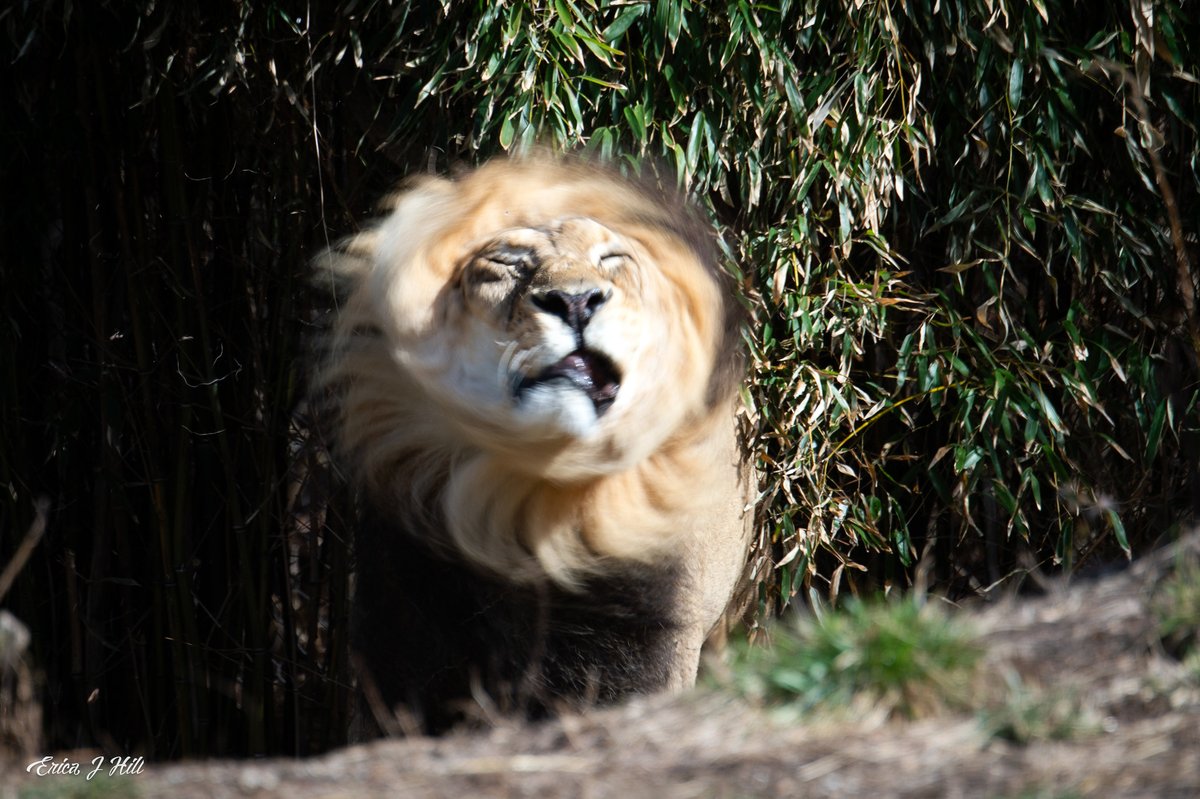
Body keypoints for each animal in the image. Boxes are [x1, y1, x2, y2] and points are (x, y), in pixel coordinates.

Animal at [317, 155, 755, 733]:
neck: (532, 494)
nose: (575, 301)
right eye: (508, 264)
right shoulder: (410, 619)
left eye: (611, 259)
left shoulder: (645, 630)